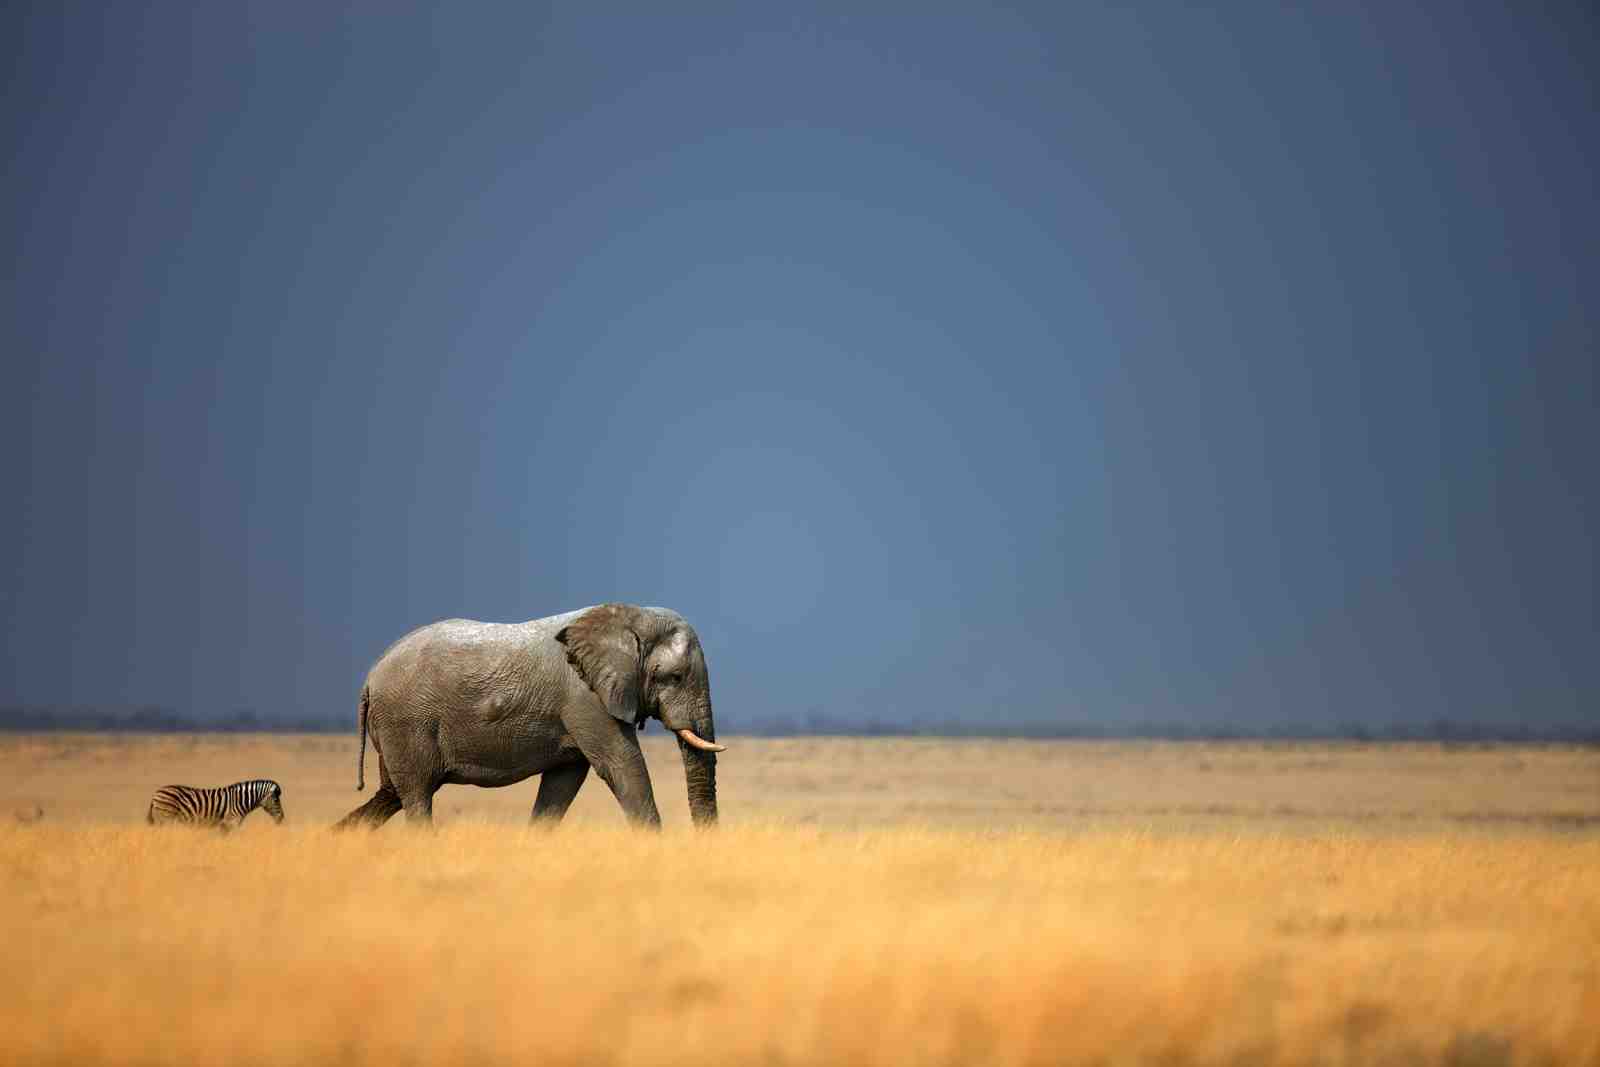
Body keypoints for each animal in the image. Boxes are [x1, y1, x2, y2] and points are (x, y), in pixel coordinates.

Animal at [146, 780, 285, 830]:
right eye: (276, 800)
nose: (281, 818)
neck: (241, 800)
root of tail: (156, 793)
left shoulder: (225, 825)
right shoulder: (231, 822)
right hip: (166, 818)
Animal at [334, 604, 723, 830]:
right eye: (674, 677)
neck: (628, 616)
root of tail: (370, 678)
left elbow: (563, 782)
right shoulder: (584, 698)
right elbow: (622, 765)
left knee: (391, 794)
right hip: (407, 721)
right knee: (415, 797)